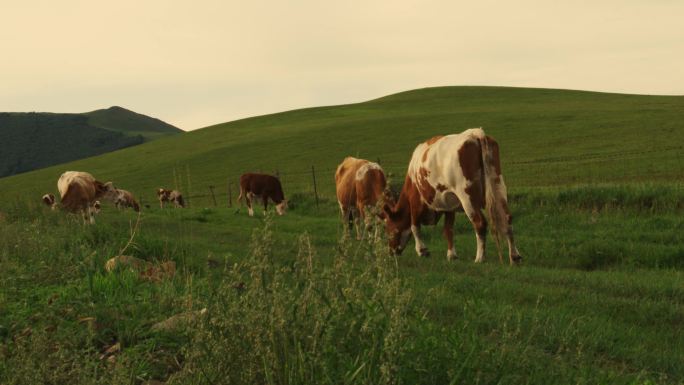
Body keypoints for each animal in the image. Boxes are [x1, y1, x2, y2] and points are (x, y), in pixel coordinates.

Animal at [382, 128, 520, 264]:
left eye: (388, 229)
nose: (390, 252)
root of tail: (475, 133)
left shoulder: (416, 201)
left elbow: (414, 226)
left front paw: (422, 250)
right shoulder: (449, 205)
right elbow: (448, 229)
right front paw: (451, 255)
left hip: (467, 195)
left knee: (480, 223)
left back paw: (480, 258)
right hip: (498, 186)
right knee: (507, 218)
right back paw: (515, 256)